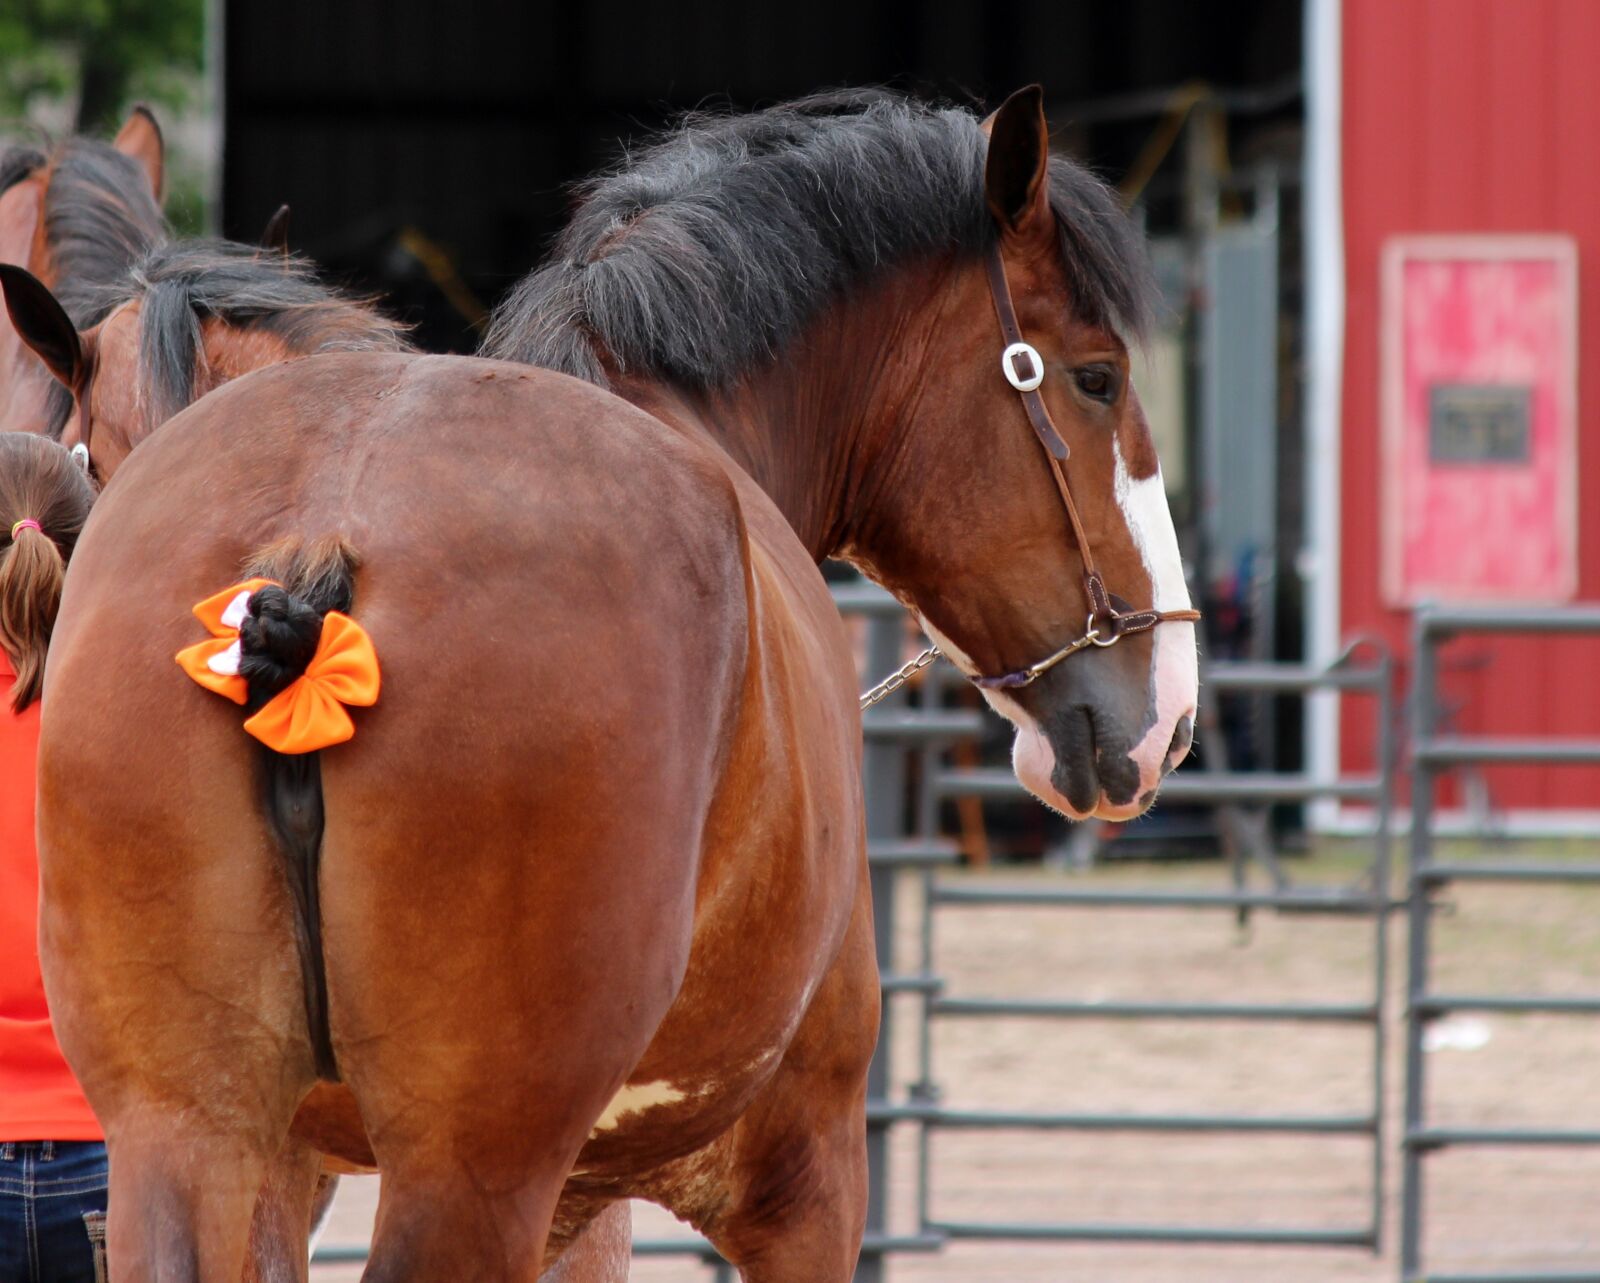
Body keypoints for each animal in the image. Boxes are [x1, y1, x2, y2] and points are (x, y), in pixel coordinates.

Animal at [28, 84, 1203, 1273]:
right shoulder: (803, 1177)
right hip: (467, 1177)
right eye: (1096, 377)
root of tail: (321, 545)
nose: (1165, 711)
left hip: (188, 1138)